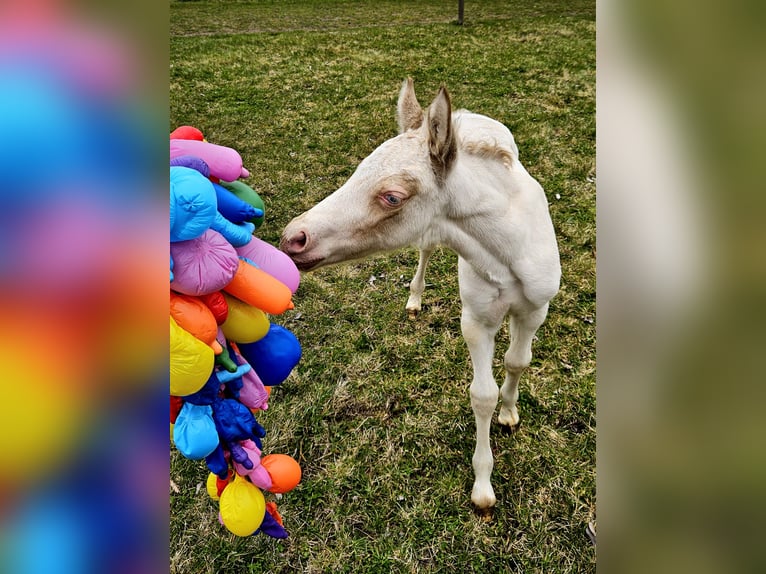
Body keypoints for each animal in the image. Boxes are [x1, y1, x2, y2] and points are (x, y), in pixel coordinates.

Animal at [280, 78, 561, 509]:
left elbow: (517, 362)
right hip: (430, 234)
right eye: (357, 171)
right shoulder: (475, 318)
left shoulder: (536, 308)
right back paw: (414, 299)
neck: (507, 253)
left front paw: (510, 413)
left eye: (392, 196)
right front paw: (483, 486)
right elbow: (481, 393)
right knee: (426, 250)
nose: (292, 238)